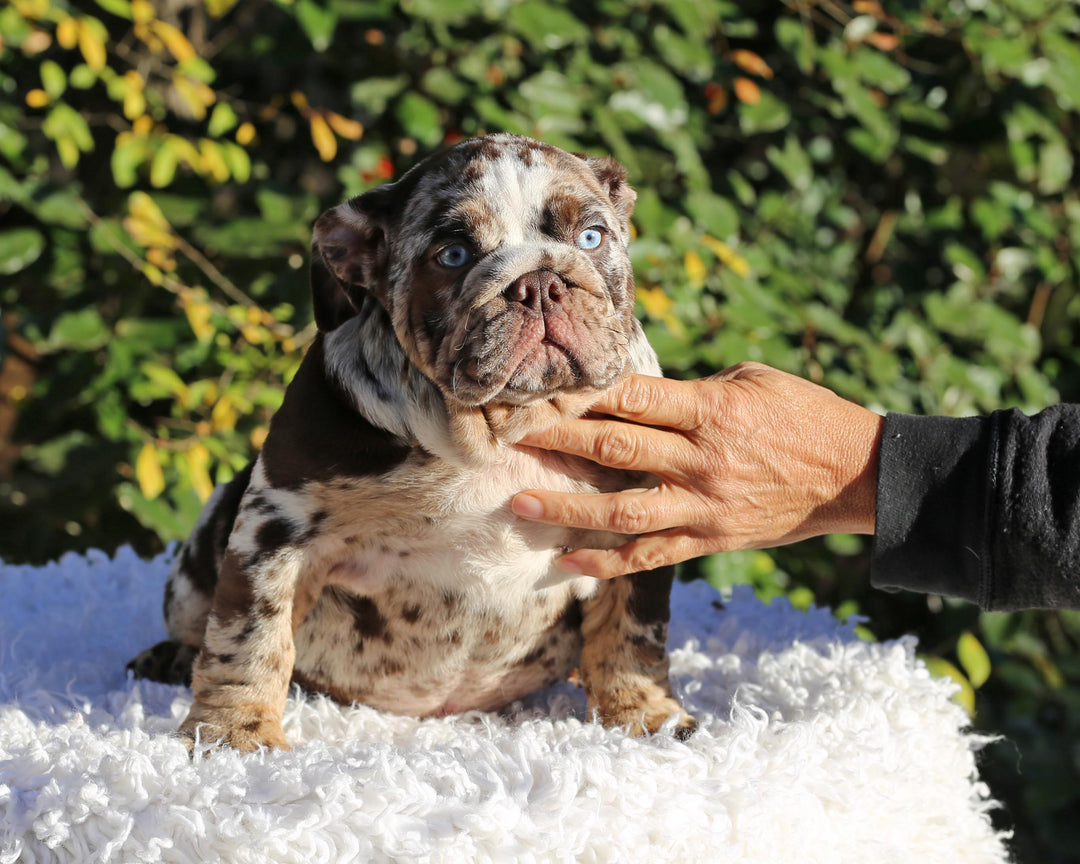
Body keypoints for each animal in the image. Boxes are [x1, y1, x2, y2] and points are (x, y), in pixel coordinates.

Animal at [130, 133, 695, 747]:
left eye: (591, 237)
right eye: (453, 256)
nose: (540, 282)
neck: (500, 429)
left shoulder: (637, 527)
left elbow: (631, 633)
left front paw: (645, 714)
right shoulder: (276, 527)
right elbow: (250, 635)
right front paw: (233, 733)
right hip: (199, 555)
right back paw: (168, 659)